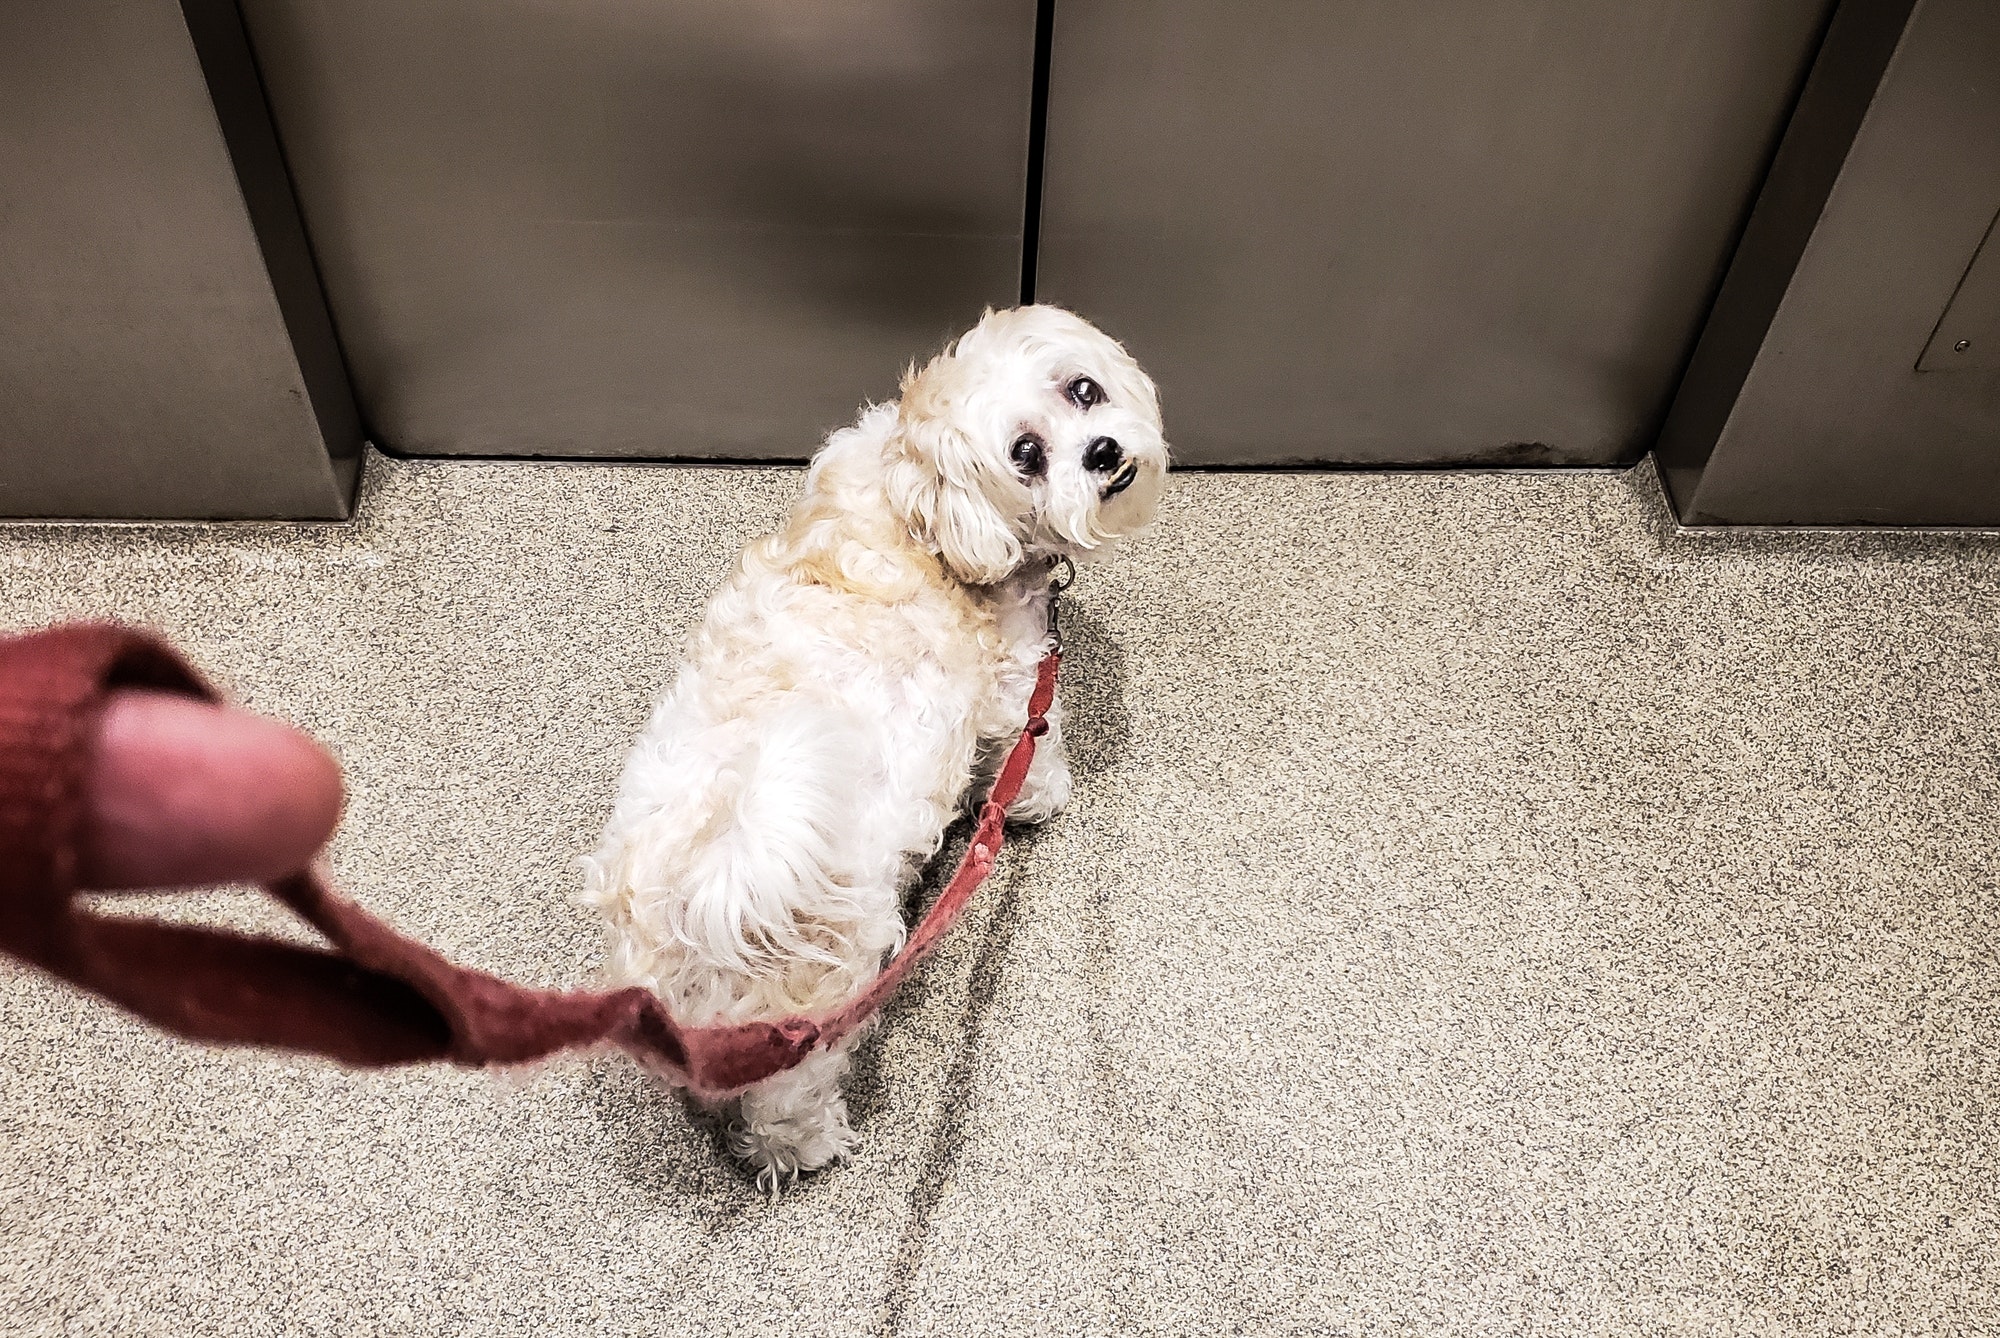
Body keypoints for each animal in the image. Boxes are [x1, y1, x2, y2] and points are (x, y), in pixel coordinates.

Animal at [580, 306, 1168, 1192]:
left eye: (1084, 390)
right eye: (1027, 455)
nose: (1101, 452)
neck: (918, 499)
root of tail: (706, 892)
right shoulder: (1015, 685)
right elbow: (1032, 748)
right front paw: (1040, 801)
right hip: (814, 1005)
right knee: (784, 1111)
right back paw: (812, 1147)